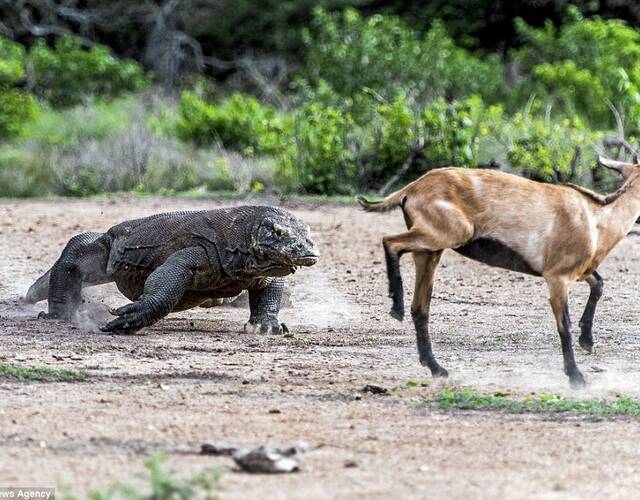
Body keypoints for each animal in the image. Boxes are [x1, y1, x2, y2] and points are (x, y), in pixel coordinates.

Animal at [358, 158, 640, 388]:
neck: (595, 220)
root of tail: (411, 189)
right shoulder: (556, 277)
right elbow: (564, 325)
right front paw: (576, 377)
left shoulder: (580, 272)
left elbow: (599, 284)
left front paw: (587, 340)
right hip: (449, 233)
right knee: (390, 242)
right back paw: (396, 308)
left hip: (431, 251)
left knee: (420, 307)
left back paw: (436, 367)